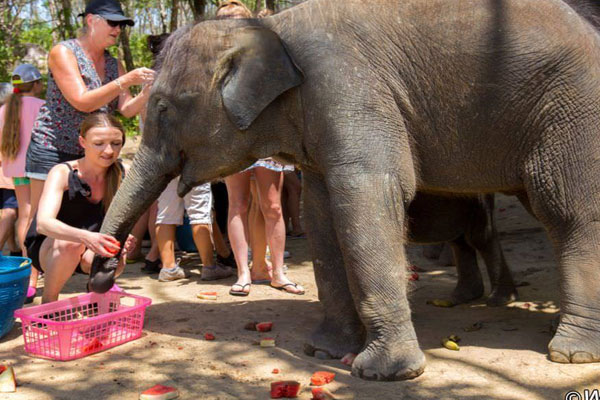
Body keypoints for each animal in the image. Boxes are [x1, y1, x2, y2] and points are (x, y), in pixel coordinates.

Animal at [89, 0, 600, 382]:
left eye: (163, 107)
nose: (104, 272)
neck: (271, 28)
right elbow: (320, 213)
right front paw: (323, 352)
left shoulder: (349, 90)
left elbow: (368, 197)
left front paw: (385, 372)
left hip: (572, 110)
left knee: (569, 211)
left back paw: (570, 352)